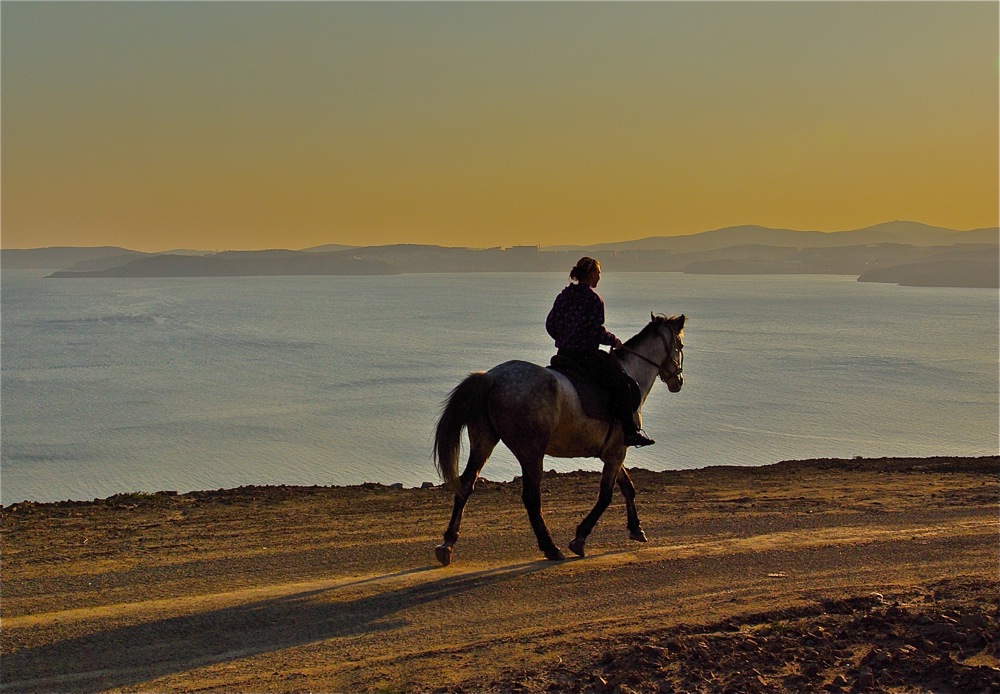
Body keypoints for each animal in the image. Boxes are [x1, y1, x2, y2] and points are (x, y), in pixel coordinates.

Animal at [434, 314, 684, 564]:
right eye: (680, 345)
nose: (678, 381)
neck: (631, 371)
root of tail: (491, 378)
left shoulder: (613, 452)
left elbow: (627, 488)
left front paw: (636, 529)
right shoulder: (617, 452)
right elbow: (606, 496)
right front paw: (579, 538)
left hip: (483, 441)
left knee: (466, 484)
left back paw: (447, 545)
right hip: (530, 452)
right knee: (531, 498)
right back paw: (551, 547)